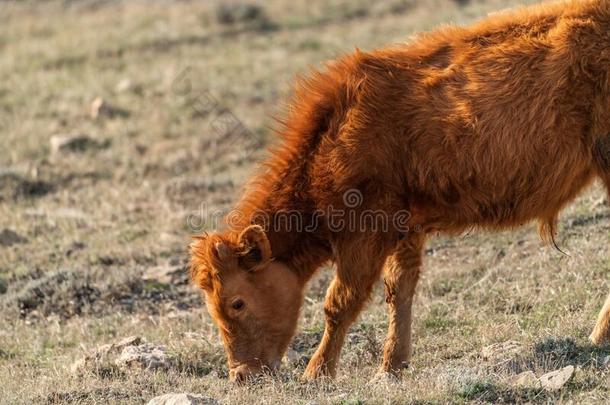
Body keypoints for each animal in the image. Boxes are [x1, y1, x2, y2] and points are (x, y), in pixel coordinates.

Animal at [189, 0, 608, 380]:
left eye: (237, 303)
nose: (241, 374)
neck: (335, 135)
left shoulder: (365, 234)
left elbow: (340, 302)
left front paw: (317, 372)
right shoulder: (406, 227)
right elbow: (399, 291)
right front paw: (391, 366)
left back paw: (598, 335)